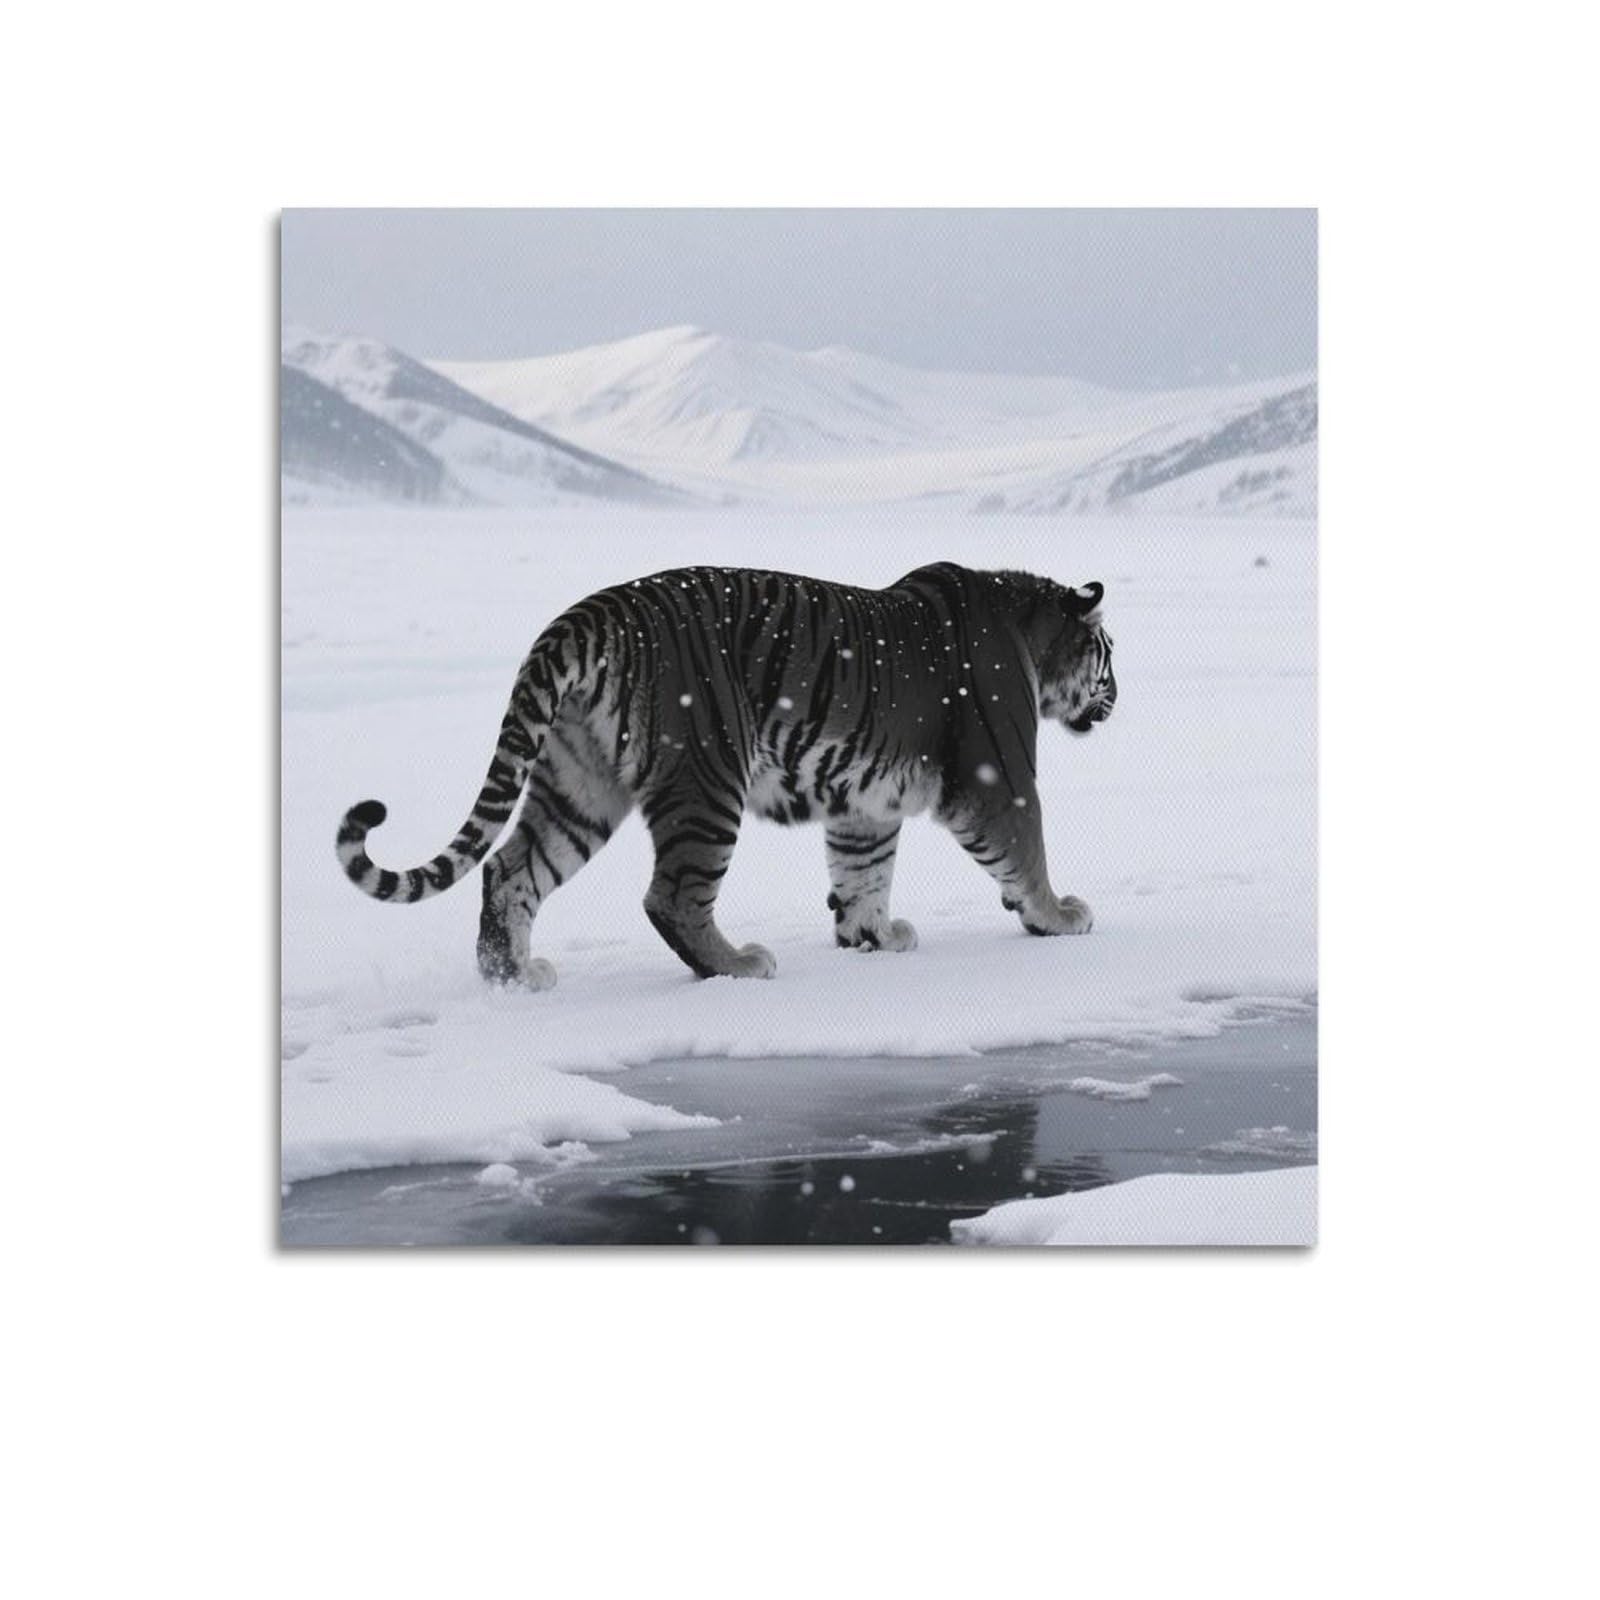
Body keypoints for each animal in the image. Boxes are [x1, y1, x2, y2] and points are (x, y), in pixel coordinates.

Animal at [336, 561, 1116, 987]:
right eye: (1110, 654)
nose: (1116, 699)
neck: (1030, 634)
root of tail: (590, 612)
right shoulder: (997, 773)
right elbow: (1027, 849)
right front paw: (1058, 915)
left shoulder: (864, 802)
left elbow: (862, 870)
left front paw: (872, 936)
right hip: (707, 779)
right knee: (672, 897)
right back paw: (741, 963)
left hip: (578, 785)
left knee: (509, 869)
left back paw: (514, 979)